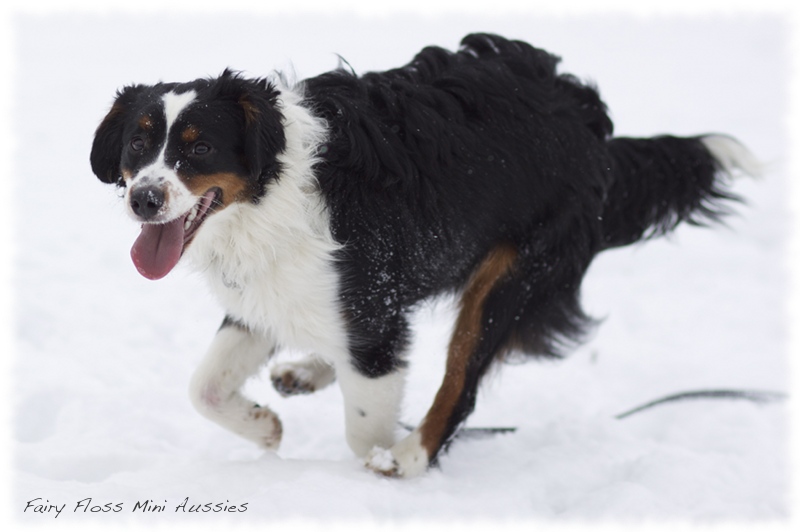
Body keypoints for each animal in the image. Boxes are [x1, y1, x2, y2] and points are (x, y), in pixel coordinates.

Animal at [89, 33, 756, 478]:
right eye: (139, 145)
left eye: (198, 149)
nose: (145, 199)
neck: (272, 190)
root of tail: (595, 127)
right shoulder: (266, 292)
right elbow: (202, 388)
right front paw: (265, 426)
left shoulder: (364, 297)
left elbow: (366, 425)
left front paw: (382, 458)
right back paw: (310, 371)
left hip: (512, 277)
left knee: (460, 381)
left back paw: (411, 455)